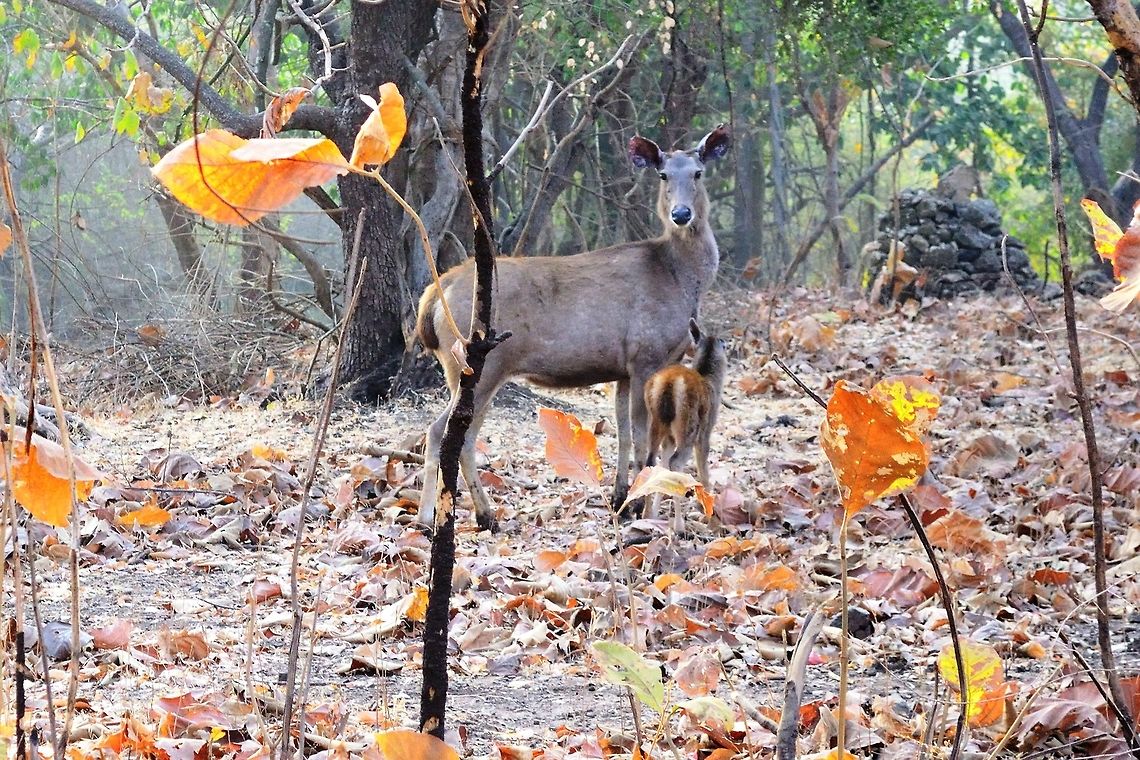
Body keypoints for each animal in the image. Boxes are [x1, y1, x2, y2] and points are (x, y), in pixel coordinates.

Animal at [643, 319, 727, 508]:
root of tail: (668, 384)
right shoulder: (707, 429)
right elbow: (703, 466)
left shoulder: (669, 438)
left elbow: (662, 467)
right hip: (689, 426)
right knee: (675, 462)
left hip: (656, 421)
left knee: (651, 461)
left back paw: (646, 512)